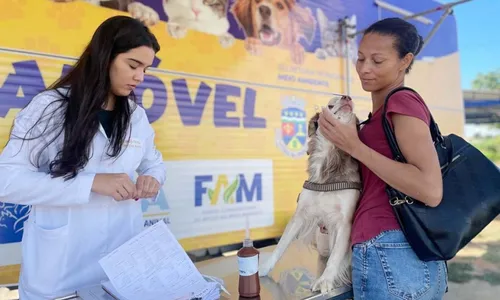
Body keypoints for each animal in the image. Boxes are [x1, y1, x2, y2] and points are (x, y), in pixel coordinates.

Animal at [260, 95, 362, 292]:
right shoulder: (299, 215)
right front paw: (265, 268)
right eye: (330, 105)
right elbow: (281, 244)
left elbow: (335, 257)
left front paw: (325, 280)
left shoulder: (345, 222)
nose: (347, 96)